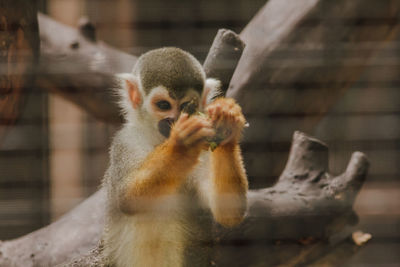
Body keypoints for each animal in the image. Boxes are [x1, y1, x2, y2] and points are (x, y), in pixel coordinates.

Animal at [101, 47, 248, 267]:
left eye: (188, 105)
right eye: (163, 105)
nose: (173, 121)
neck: (158, 140)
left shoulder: (204, 150)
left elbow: (229, 210)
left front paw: (226, 123)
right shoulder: (125, 142)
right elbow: (126, 197)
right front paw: (181, 144)